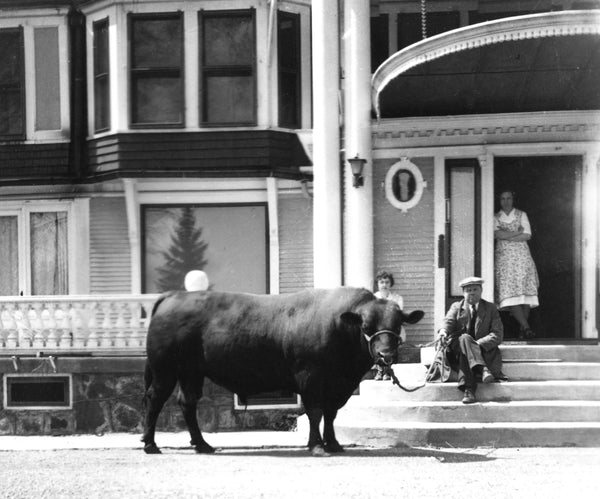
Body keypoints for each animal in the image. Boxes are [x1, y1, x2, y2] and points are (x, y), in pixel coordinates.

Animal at [142, 290, 424, 458]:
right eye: (366, 326)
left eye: (397, 324)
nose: (386, 355)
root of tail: (173, 296)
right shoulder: (310, 378)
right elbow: (315, 413)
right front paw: (317, 446)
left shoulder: (337, 386)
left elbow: (331, 414)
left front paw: (333, 443)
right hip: (165, 370)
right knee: (155, 400)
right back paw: (150, 444)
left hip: (191, 372)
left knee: (187, 402)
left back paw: (202, 445)